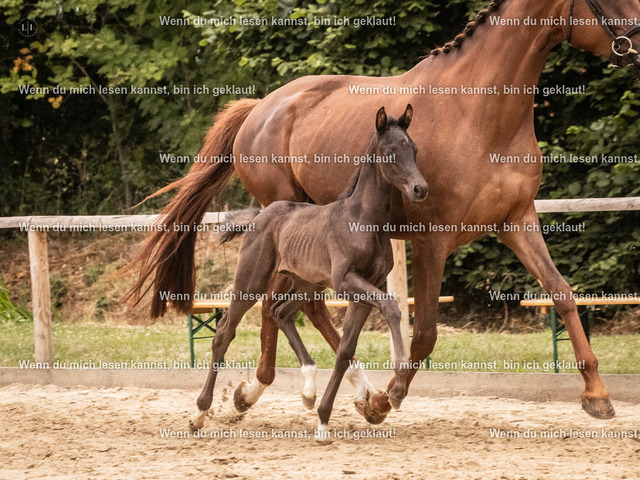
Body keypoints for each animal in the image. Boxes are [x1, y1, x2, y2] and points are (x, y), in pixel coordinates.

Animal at [189, 105, 427, 432]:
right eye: (391, 152)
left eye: (413, 149)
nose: (420, 189)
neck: (364, 219)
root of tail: (258, 216)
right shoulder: (346, 282)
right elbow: (391, 306)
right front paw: (399, 381)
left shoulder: (366, 289)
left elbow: (345, 350)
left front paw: (324, 419)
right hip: (251, 281)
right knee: (224, 331)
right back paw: (199, 412)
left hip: (306, 283)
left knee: (280, 312)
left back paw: (309, 389)